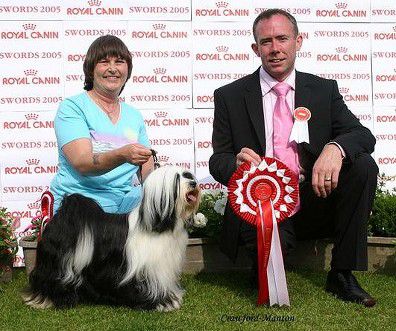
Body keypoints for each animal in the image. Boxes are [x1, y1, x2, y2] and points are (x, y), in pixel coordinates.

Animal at [22, 167, 201, 312]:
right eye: (177, 179)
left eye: (187, 175)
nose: (193, 183)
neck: (156, 224)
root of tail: (63, 214)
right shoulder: (147, 271)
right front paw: (161, 303)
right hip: (56, 263)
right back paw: (46, 299)